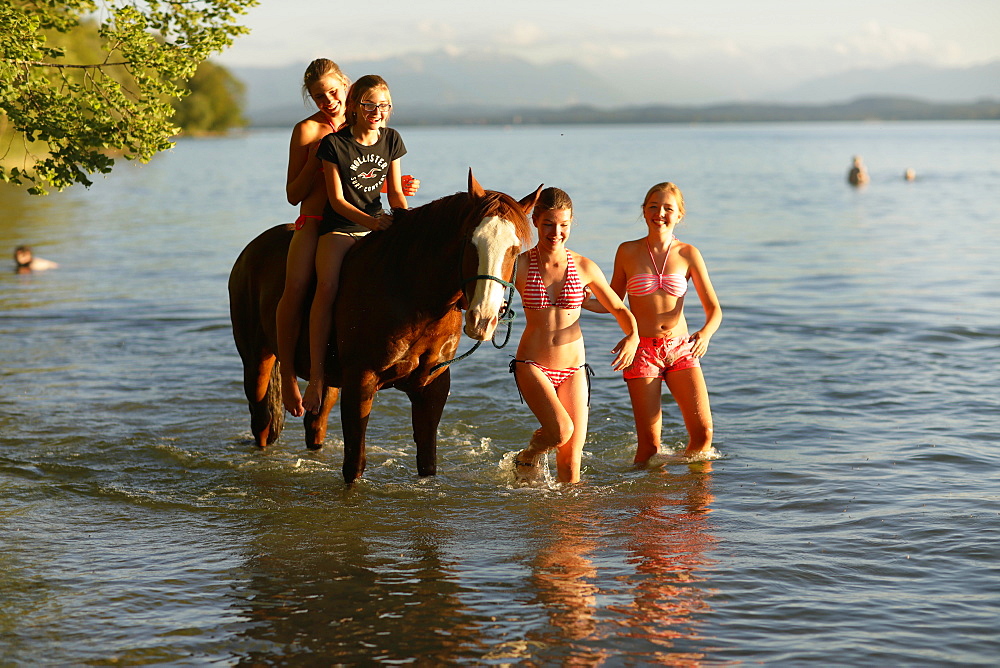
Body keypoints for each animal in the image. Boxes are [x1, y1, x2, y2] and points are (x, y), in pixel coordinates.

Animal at [229, 172, 540, 482]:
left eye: (515, 250)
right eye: (470, 241)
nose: (483, 319)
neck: (408, 291)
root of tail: (251, 250)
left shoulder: (432, 388)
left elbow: (427, 463)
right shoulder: (360, 383)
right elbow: (354, 466)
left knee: (314, 423)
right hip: (257, 363)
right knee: (262, 422)